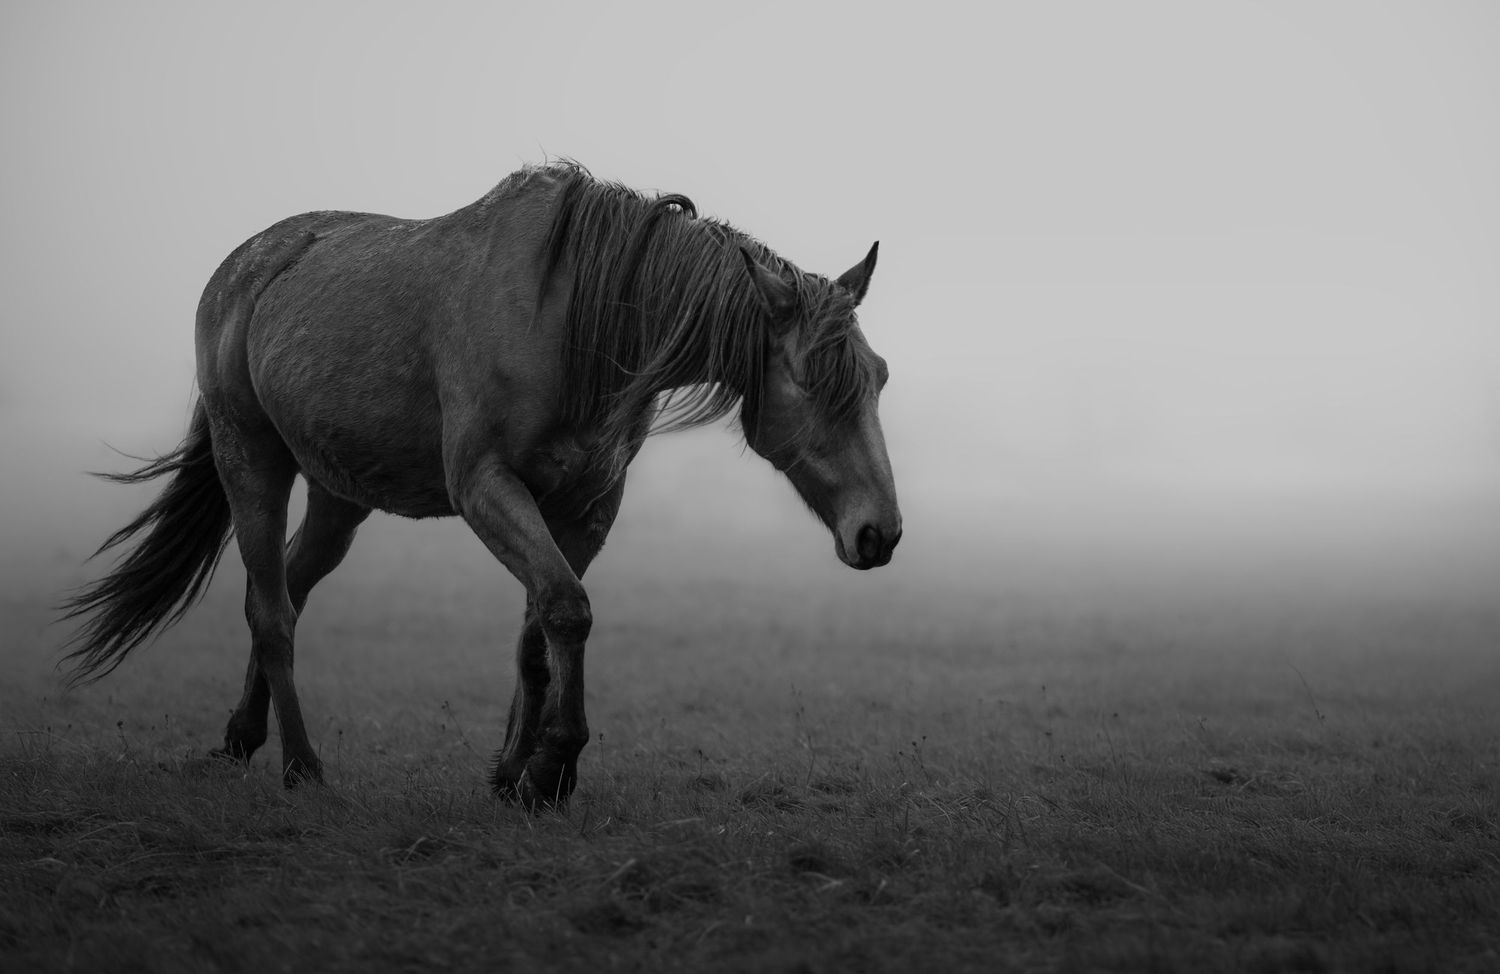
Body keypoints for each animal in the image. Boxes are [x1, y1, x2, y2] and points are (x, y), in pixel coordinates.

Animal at [60, 163, 901, 807]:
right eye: (812, 382)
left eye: (880, 376)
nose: (880, 533)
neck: (574, 324)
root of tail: (245, 266)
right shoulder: (485, 487)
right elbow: (567, 611)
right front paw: (553, 770)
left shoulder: (589, 505)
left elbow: (540, 628)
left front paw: (513, 774)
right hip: (251, 460)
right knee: (271, 611)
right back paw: (301, 768)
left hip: (339, 497)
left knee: (286, 592)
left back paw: (243, 736)